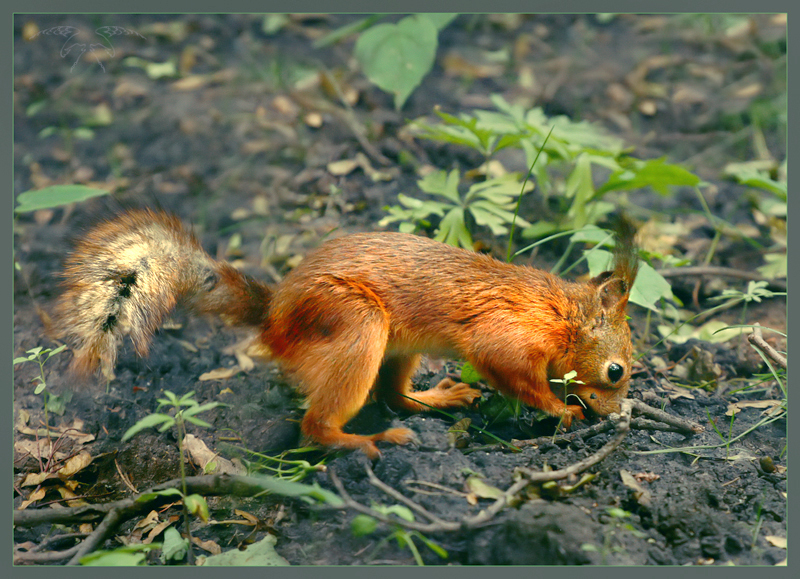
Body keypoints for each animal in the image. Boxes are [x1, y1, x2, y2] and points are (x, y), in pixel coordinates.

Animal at [51, 208, 636, 458]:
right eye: (616, 371)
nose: (618, 415)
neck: (556, 313)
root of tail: (275, 317)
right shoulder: (507, 337)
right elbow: (514, 374)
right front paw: (561, 409)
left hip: (399, 347)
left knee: (394, 396)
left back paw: (436, 399)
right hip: (357, 325)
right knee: (318, 424)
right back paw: (367, 441)